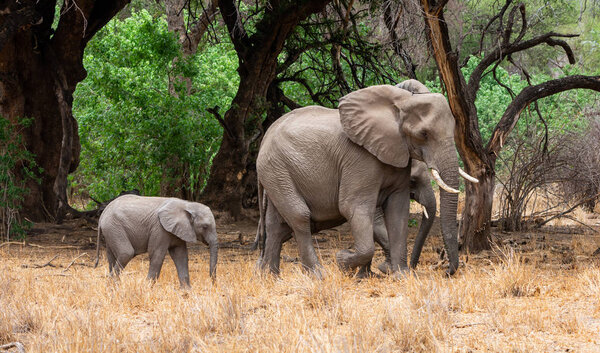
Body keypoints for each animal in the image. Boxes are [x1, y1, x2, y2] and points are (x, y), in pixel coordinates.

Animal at [255, 79, 476, 276]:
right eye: (424, 134)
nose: (446, 271)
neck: (395, 106)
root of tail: (265, 137)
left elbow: (398, 210)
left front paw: (401, 276)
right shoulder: (359, 160)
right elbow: (353, 207)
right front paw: (343, 261)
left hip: (277, 173)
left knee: (276, 226)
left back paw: (269, 277)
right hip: (276, 168)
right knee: (299, 217)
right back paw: (318, 275)